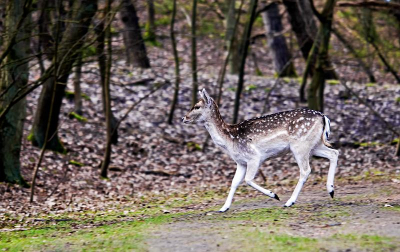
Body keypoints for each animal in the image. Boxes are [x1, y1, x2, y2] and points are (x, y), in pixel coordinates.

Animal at [183, 88, 340, 211]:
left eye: (196, 106)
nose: (184, 118)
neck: (229, 139)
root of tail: (324, 117)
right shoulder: (241, 162)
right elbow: (234, 182)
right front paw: (223, 208)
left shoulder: (254, 157)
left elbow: (248, 179)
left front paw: (274, 195)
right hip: (314, 144)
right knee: (334, 152)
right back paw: (331, 190)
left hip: (300, 145)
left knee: (306, 170)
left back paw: (289, 202)